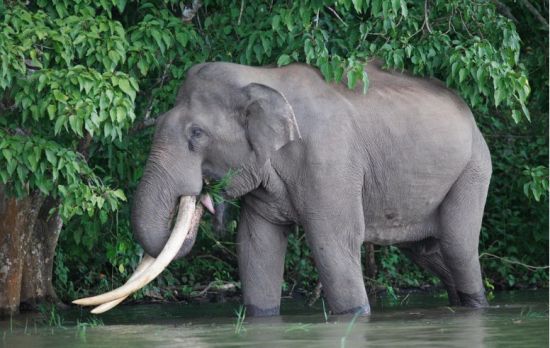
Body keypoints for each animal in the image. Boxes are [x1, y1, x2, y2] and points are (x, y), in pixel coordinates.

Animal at [87, 59, 496, 316]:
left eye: (197, 134)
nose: (205, 197)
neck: (259, 78)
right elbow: (256, 245)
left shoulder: (330, 160)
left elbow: (333, 241)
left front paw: (356, 315)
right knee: (426, 251)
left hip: (474, 169)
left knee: (457, 245)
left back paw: (476, 307)